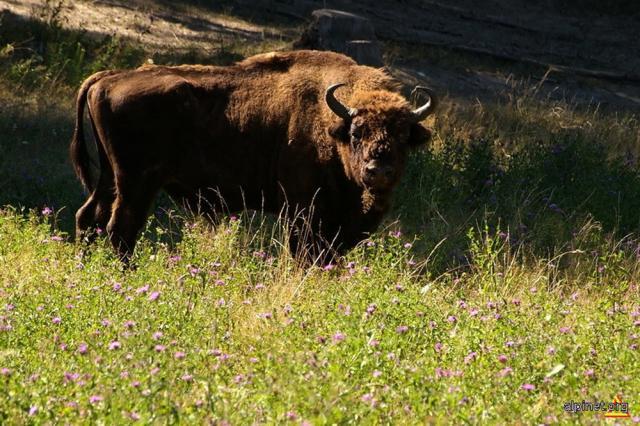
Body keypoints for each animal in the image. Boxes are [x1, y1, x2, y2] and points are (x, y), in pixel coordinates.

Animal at [71, 50, 440, 262]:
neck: (330, 121)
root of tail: (109, 77)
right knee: (121, 228)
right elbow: (304, 253)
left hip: (110, 177)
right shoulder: (304, 211)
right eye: (356, 132)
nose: (378, 170)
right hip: (136, 182)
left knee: (89, 217)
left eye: (403, 135)